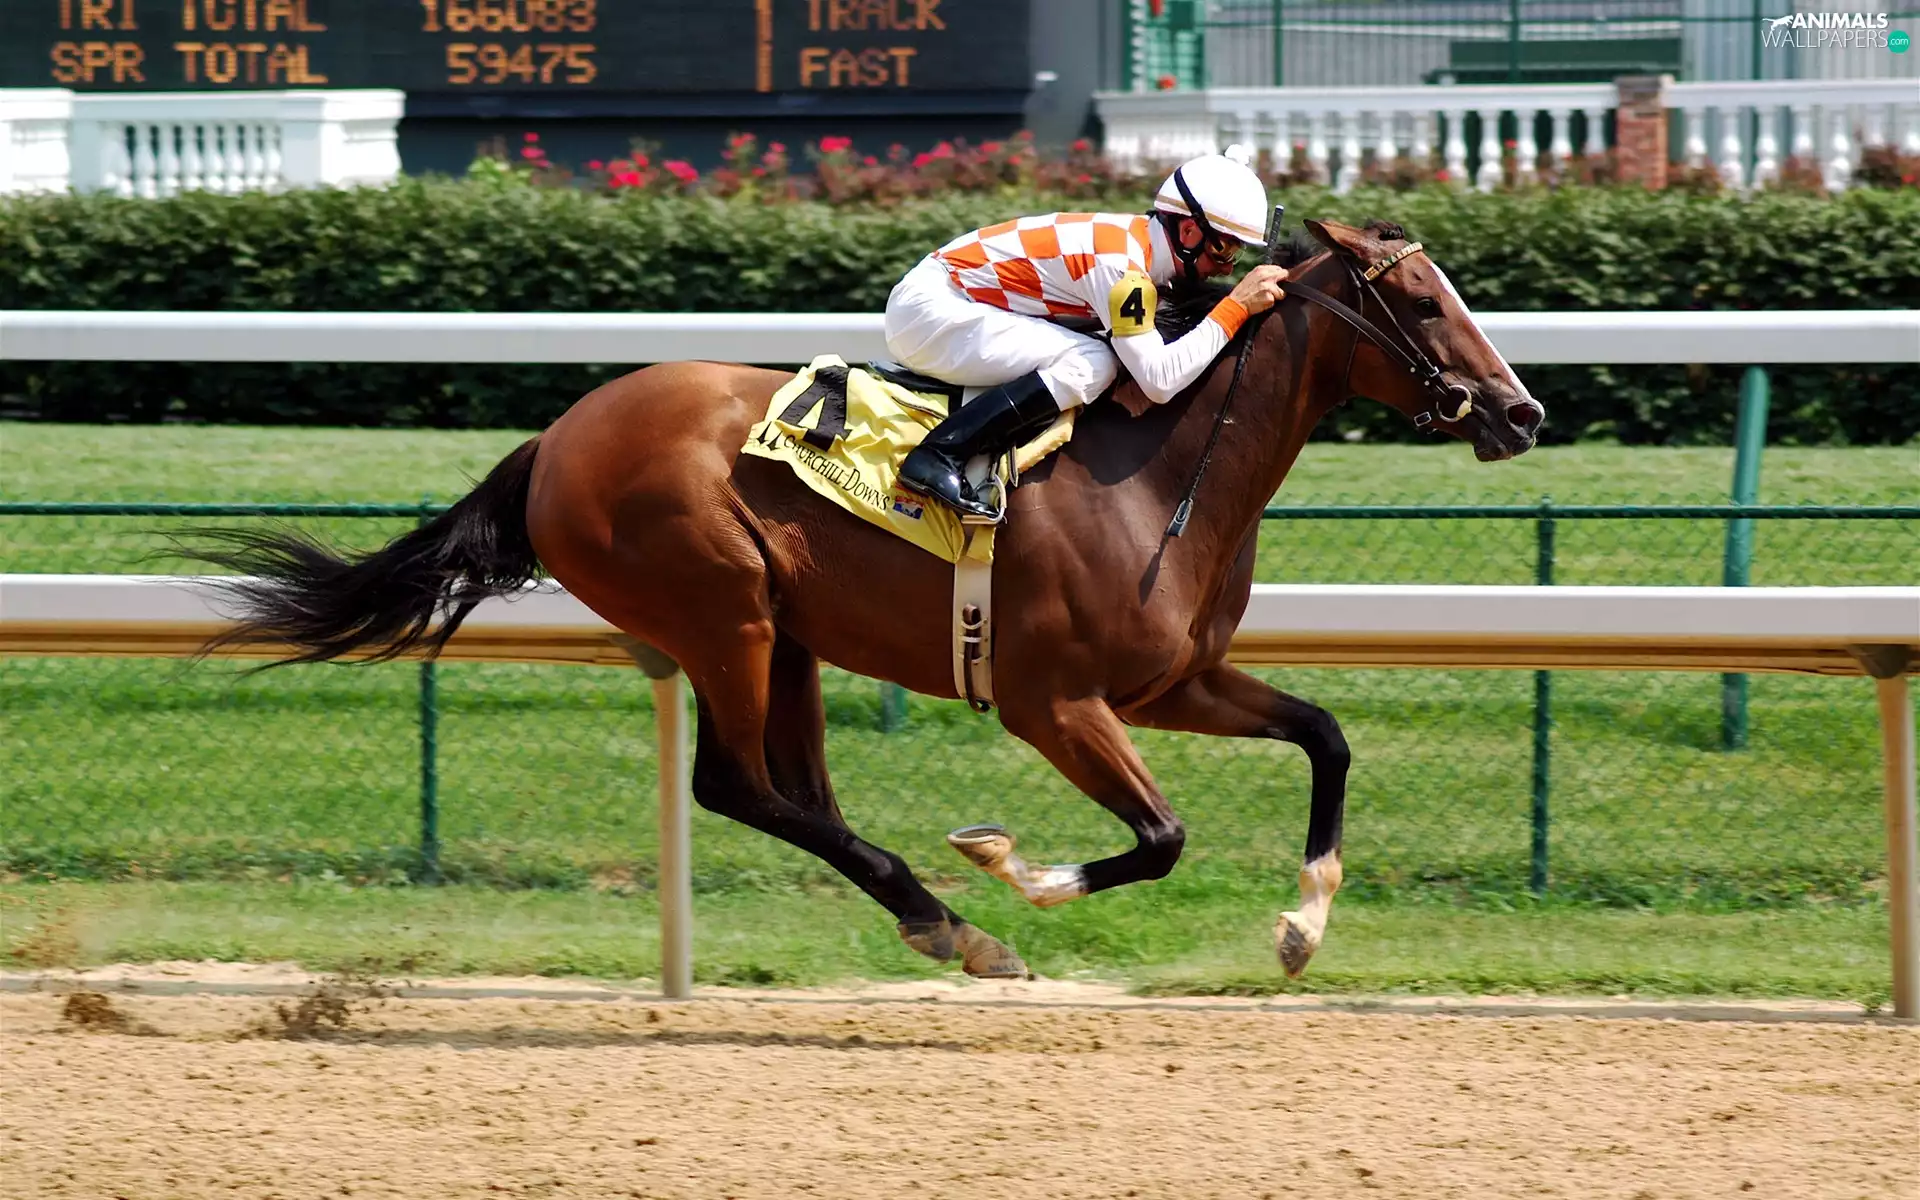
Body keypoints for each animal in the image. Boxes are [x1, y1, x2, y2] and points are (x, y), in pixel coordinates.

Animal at [195, 217, 1544, 981]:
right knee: (738, 787)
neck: (1161, 468)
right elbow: (1162, 837)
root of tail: (557, 436)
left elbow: (1326, 736)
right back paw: (959, 923)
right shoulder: (1055, 703)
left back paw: (937, 921)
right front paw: (1012, 867)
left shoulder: (1172, 682)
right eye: (1421, 301)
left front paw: (1303, 925)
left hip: (786, 635)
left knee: (797, 795)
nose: (1523, 411)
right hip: (721, 610)